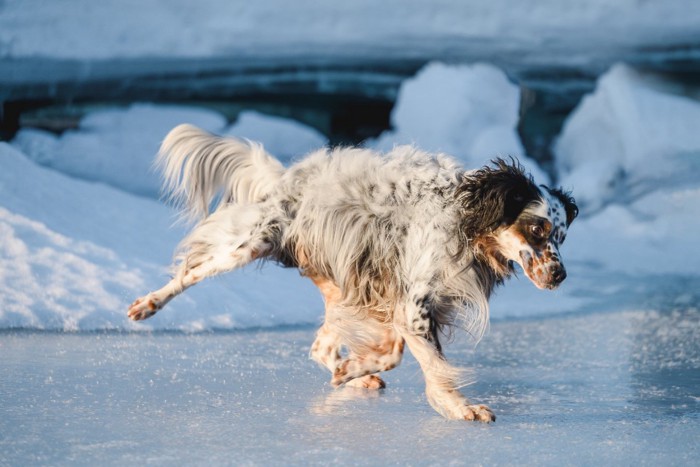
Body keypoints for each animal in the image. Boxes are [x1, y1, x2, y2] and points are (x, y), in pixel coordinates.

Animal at [129, 122, 576, 422]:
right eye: (538, 229)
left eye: (563, 236)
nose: (560, 276)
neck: (465, 221)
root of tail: (287, 178)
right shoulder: (412, 305)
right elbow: (423, 362)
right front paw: (457, 407)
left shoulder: (403, 303)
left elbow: (391, 351)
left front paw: (355, 369)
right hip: (248, 245)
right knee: (190, 272)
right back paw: (146, 304)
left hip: (343, 283)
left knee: (320, 347)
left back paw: (354, 375)